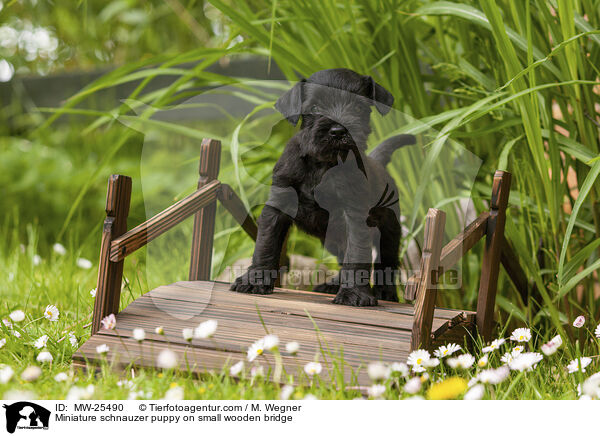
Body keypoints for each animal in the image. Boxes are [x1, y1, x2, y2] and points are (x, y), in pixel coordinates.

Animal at [227, 69, 414, 306]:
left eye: (358, 108)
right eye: (315, 108)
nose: (338, 131)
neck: (324, 166)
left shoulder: (354, 215)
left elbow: (357, 254)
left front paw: (354, 294)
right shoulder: (277, 206)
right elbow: (266, 244)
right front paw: (255, 280)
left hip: (389, 229)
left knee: (386, 260)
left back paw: (385, 292)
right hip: (332, 239)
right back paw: (333, 284)